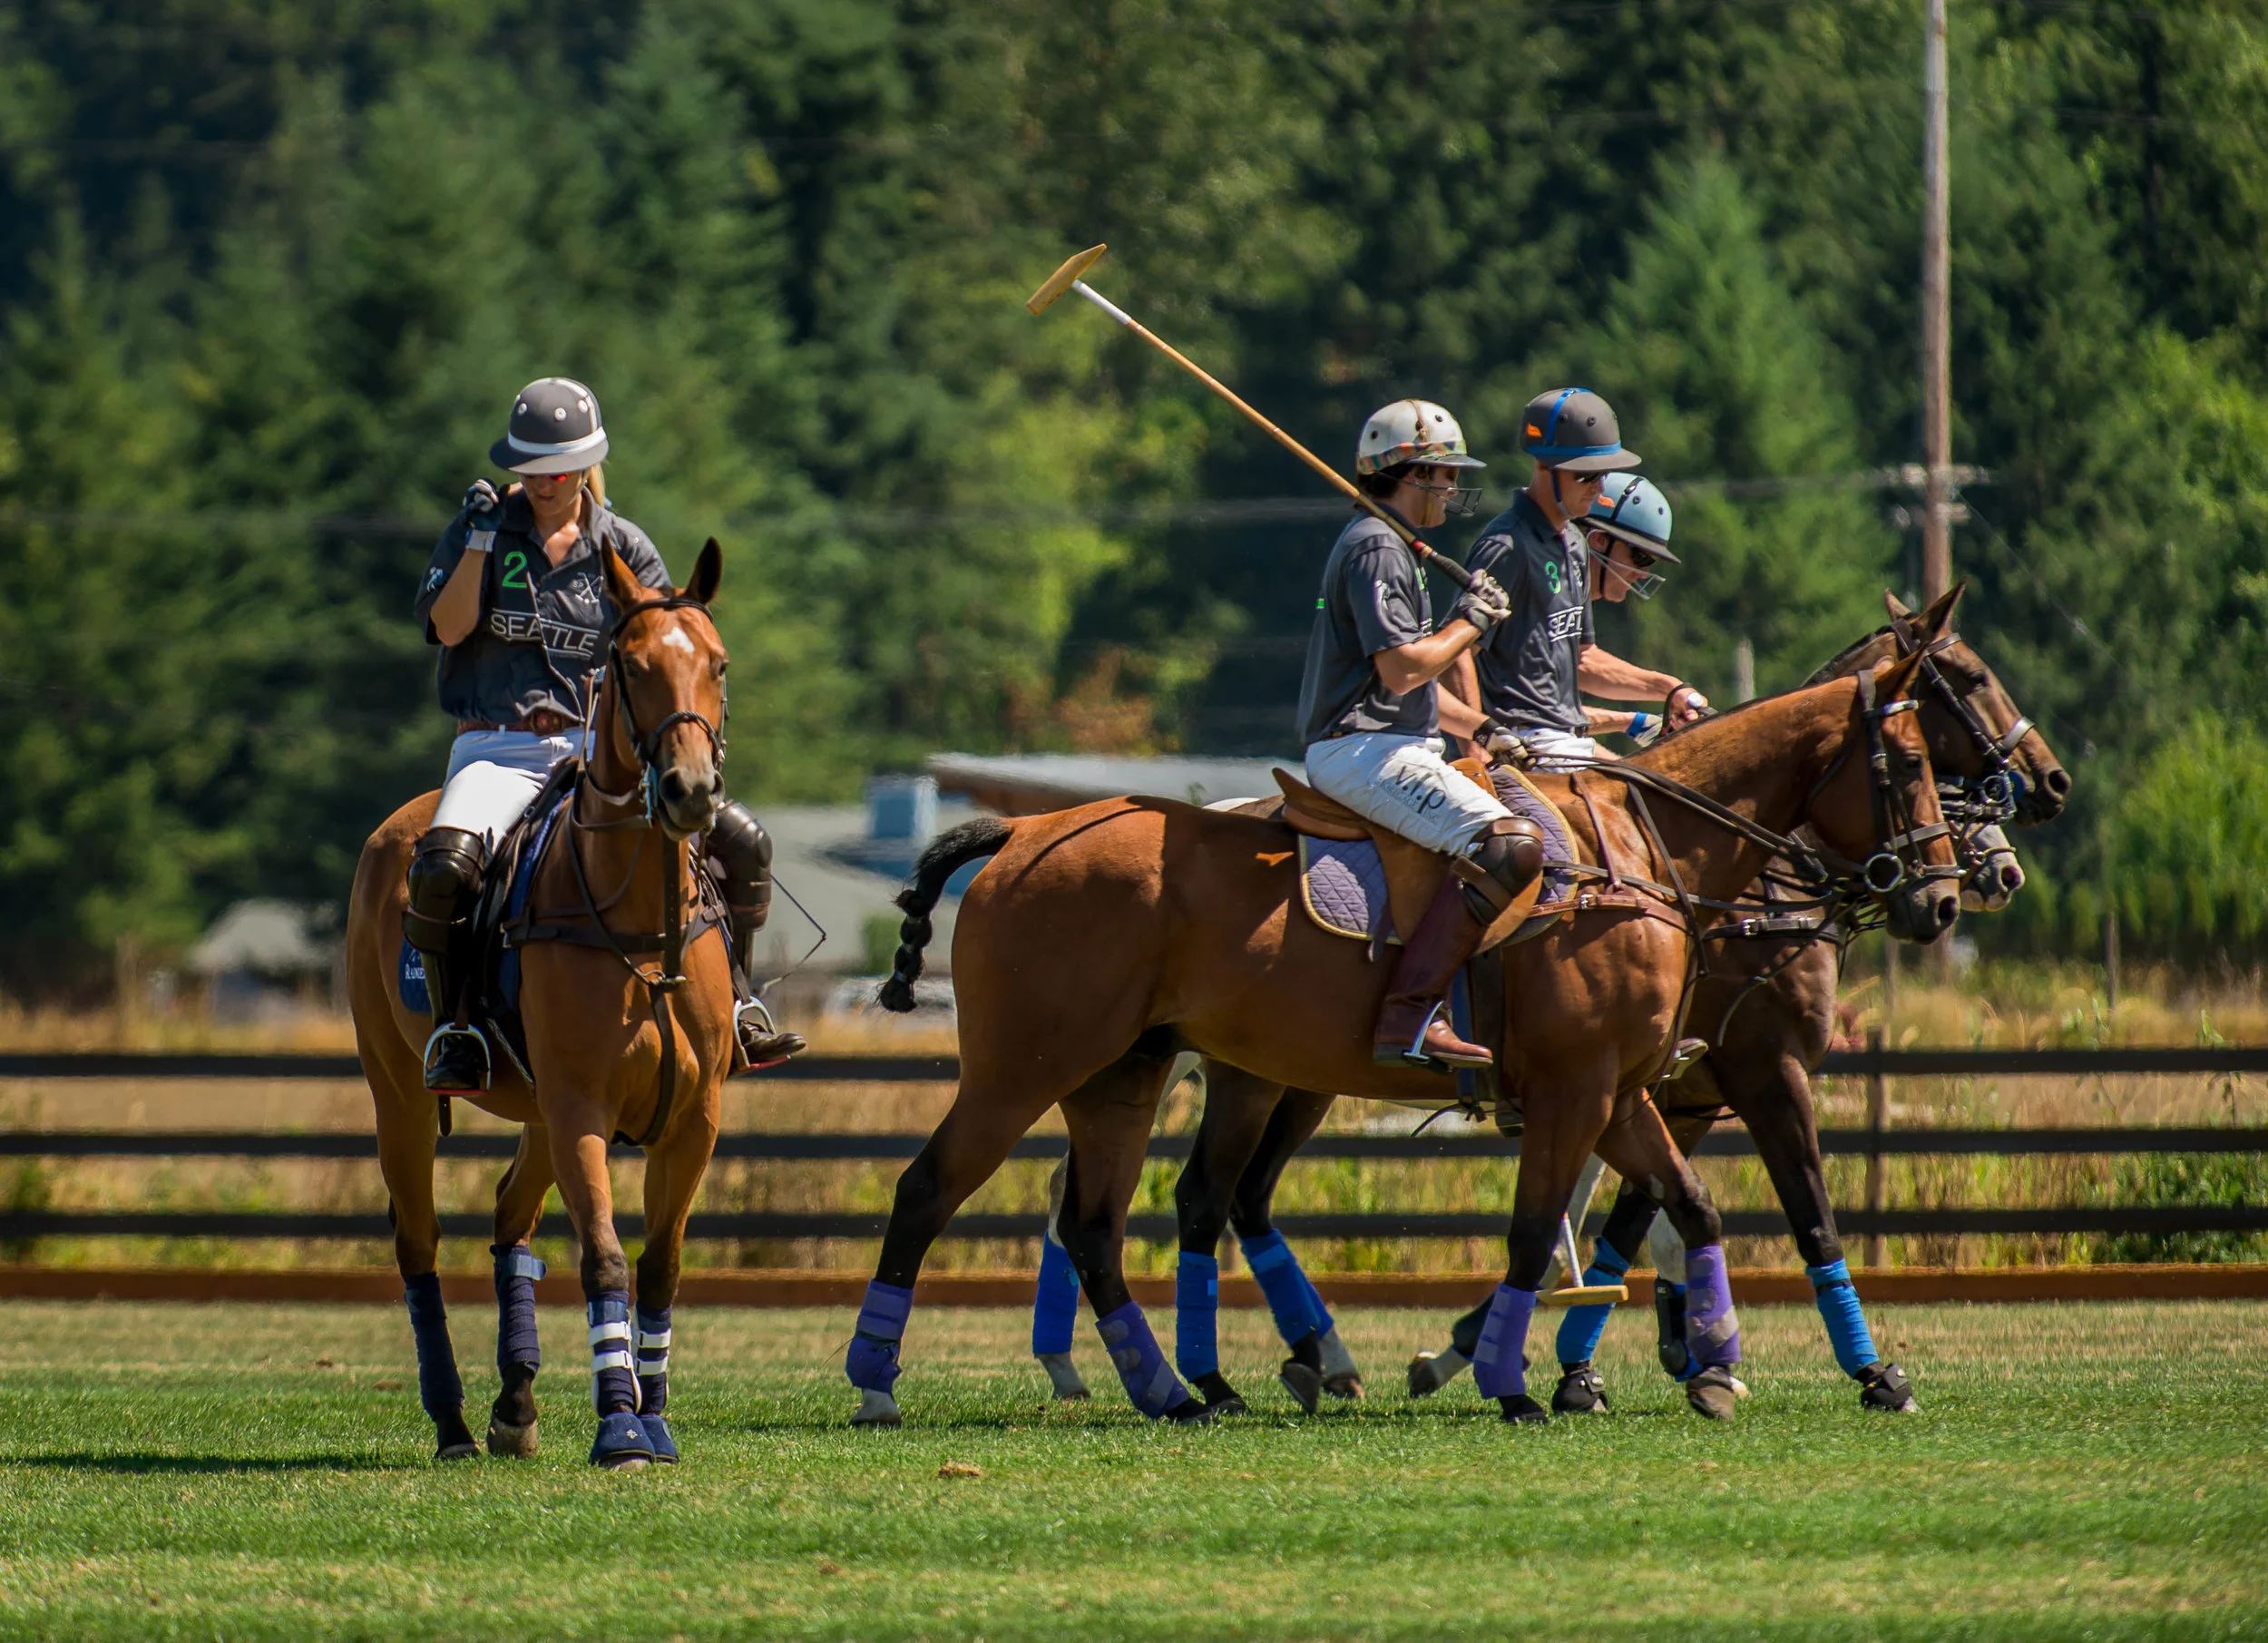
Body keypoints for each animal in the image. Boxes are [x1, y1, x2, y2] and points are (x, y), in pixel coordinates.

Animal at [345, 541, 734, 1469]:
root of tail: (395, 826)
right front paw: (620, 1426)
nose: (691, 791)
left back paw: (515, 1402)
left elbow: (661, 1265)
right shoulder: (581, 1105)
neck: (642, 931)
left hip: (534, 1109)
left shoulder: (694, 1116)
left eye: (718, 663)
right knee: (418, 1241)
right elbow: (605, 1261)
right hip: (400, 1091)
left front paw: (654, 1417)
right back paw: (453, 1421)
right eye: (631, 666)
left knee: (508, 1213)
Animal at [847, 648, 1961, 1426]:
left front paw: (1719, 1362)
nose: (1945, 896)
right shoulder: (1594, 1087)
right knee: (932, 1189)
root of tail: (1020, 830)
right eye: (1911, 759)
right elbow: (1542, 1228)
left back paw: (1176, 1388)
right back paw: (879, 1385)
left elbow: (1688, 1204)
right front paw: (1514, 1380)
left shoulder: (1625, 1088)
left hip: (1128, 1071)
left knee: (1098, 1223)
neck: (1651, 857)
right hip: (1027, 1065)